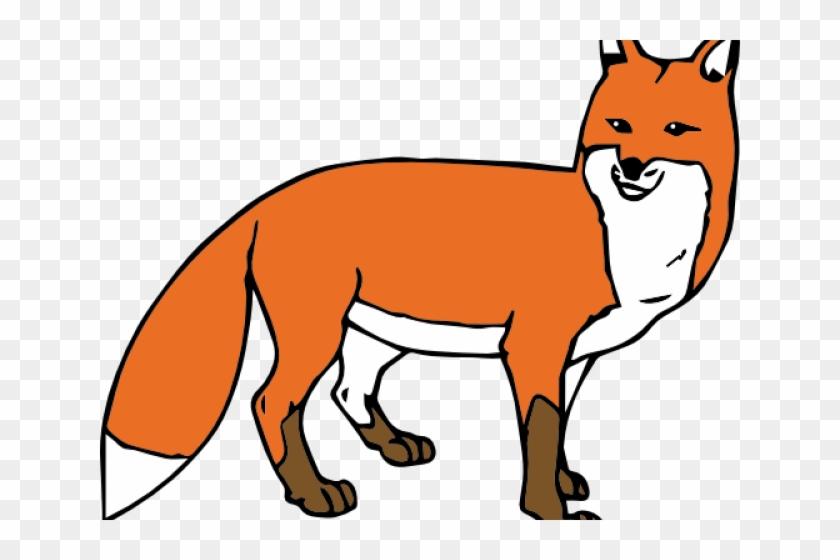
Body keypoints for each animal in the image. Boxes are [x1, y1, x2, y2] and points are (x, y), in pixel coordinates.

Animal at [101, 40, 740, 520]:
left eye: (676, 129)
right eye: (619, 124)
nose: (630, 166)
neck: (628, 239)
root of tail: (271, 198)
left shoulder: (577, 356)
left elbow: (557, 429)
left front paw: (563, 483)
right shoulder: (534, 346)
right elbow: (539, 430)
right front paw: (547, 512)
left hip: (377, 335)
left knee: (348, 390)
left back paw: (393, 446)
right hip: (317, 332)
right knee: (272, 401)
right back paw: (314, 495)